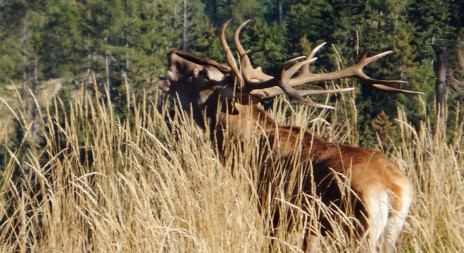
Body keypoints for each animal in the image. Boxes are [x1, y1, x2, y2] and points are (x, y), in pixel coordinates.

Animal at [158, 20, 422, 252]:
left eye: (202, 73)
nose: (174, 54)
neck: (247, 150)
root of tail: (394, 190)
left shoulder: (274, 209)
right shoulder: (309, 225)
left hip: (356, 227)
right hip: (392, 232)